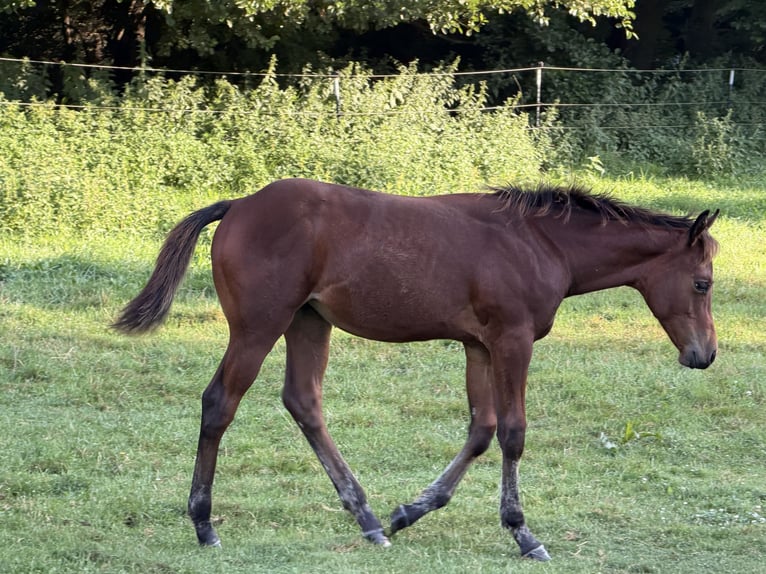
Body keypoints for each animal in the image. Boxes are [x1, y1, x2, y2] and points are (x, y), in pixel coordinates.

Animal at [113, 178, 719, 561]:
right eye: (702, 282)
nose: (705, 355)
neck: (540, 242)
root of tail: (239, 204)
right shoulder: (511, 340)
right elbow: (513, 433)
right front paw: (523, 533)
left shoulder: (478, 347)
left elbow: (481, 430)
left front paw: (412, 510)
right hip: (260, 325)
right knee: (220, 402)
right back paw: (204, 523)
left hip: (308, 322)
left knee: (304, 401)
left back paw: (368, 520)